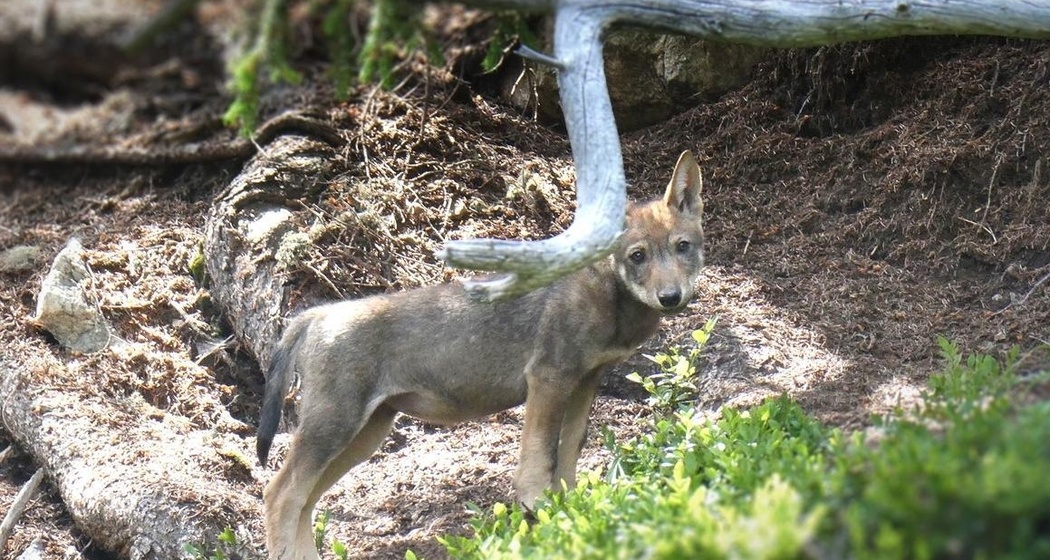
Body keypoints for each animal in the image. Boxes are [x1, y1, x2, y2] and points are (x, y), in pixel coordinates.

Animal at [256, 151, 706, 559]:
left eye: (683, 248)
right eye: (638, 256)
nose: (671, 297)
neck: (608, 296)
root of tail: (318, 314)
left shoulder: (584, 382)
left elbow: (568, 456)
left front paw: (575, 515)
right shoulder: (548, 379)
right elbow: (538, 461)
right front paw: (545, 518)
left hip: (364, 435)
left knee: (304, 502)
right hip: (335, 428)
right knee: (279, 494)